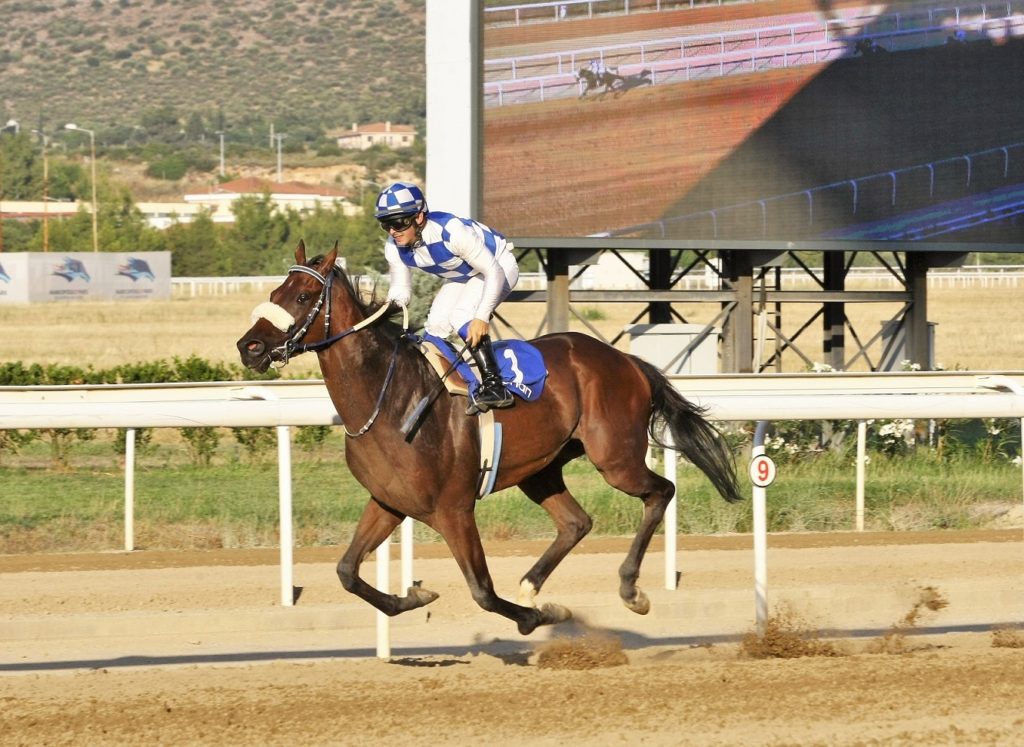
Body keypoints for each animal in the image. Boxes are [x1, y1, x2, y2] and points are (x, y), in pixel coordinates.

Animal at [235, 240, 741, 635]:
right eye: (274, 291)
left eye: (303, 295)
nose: (248, 346)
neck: (389, 399)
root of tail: (626, 360)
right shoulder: (389, 502)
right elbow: (345, 571)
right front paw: (413, 598)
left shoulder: (454, 509)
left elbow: (481, 590)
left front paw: (537, 618)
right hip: (541, 468)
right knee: (577, 522)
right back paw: (533, 586)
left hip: (615, 457)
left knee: (661, 492)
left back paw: (630, 589)